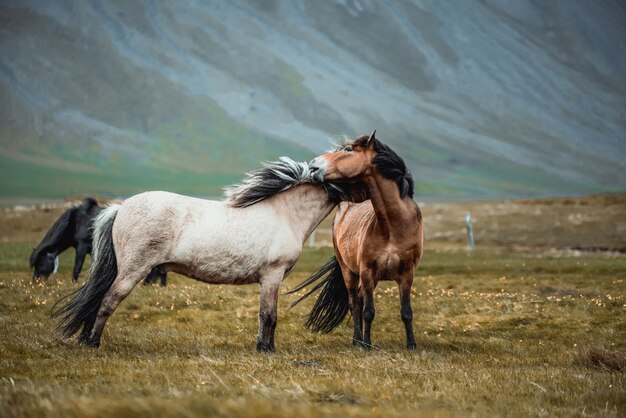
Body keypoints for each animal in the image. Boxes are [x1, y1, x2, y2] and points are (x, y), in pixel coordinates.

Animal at [29, 198, 166, 286]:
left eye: (40, 262)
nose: (36, 281)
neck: (75, 222)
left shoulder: (82, 247)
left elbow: (77, 267)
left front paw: (74, 283)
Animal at [52, 158, 356, 352]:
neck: (284, 213)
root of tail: (121, 208)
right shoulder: (272, 276)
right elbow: (268, 315)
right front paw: (265, 349)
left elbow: (267, 316)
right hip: (132, 270)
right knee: (107, 301)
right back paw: (93, 343)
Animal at [290, 131, 422, 350]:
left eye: (348, 149)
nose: (314, 164)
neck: (393, 227)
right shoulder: (367, 271)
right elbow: (368, 311)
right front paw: (366, 344)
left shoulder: (406, 274)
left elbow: (407, 312)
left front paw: (411, 345)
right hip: (349, 272)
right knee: (355, 303)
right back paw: (357, 340)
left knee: (359, 300)